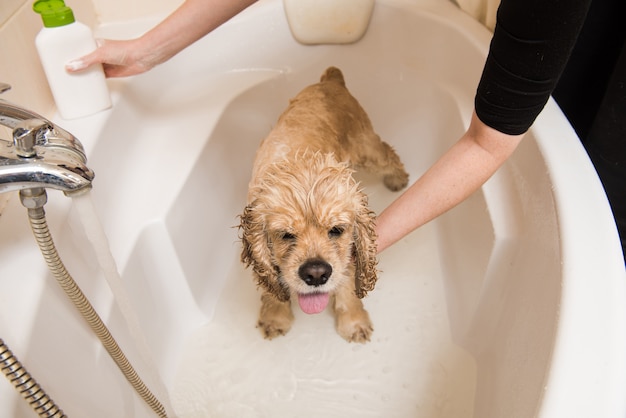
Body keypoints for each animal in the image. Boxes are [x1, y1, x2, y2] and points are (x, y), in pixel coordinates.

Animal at [236, 66, 408, 342]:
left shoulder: (346, 252)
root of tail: (331, 80)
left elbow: (346, 280)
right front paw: (275, 317)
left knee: (388, 154)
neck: (298, 164)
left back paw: (397, 179)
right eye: (285, 235)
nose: (316, 273)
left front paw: (353, 322)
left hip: (367, 149)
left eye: (336, 230)